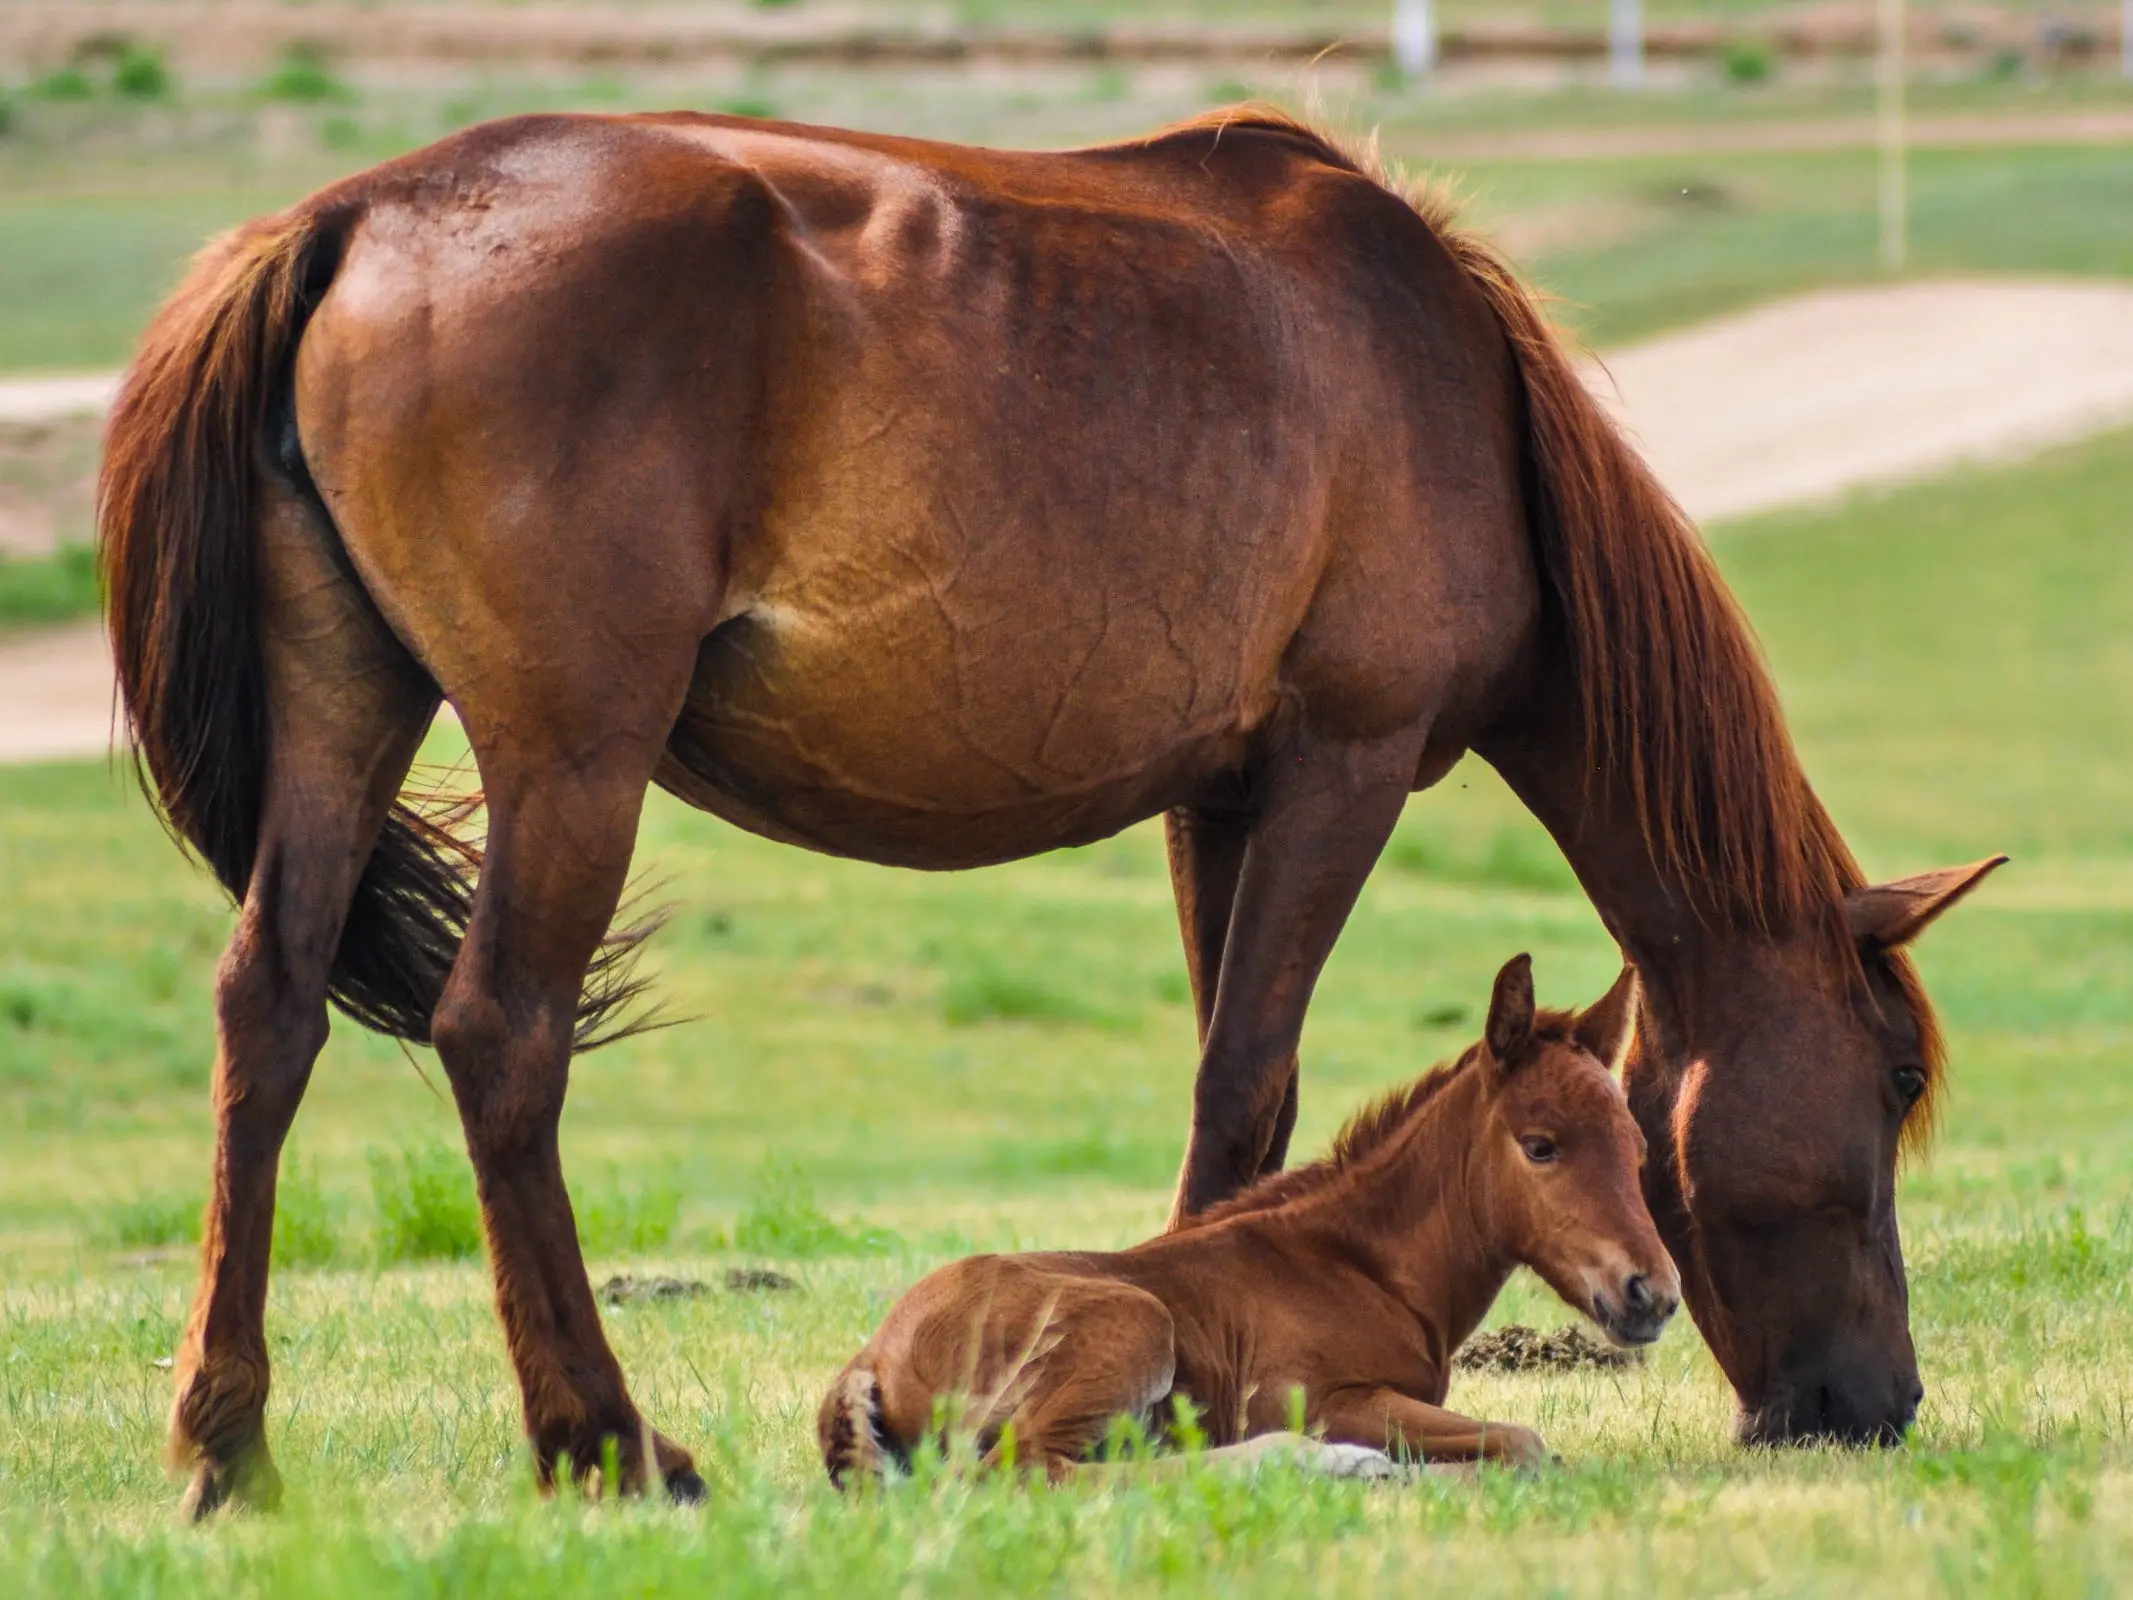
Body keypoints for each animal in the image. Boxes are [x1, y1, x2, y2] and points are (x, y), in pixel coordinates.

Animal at [823, 951, 1672, 1493]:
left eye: (1636, 1150)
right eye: (1540, 1146)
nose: (1652, 1296)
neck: (1362, 1267)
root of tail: (870, 1358)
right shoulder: (1324, 1399)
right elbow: (1521, 1444)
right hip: (1132, 1325)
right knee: (1032, 1469)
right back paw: (1319, 1465)